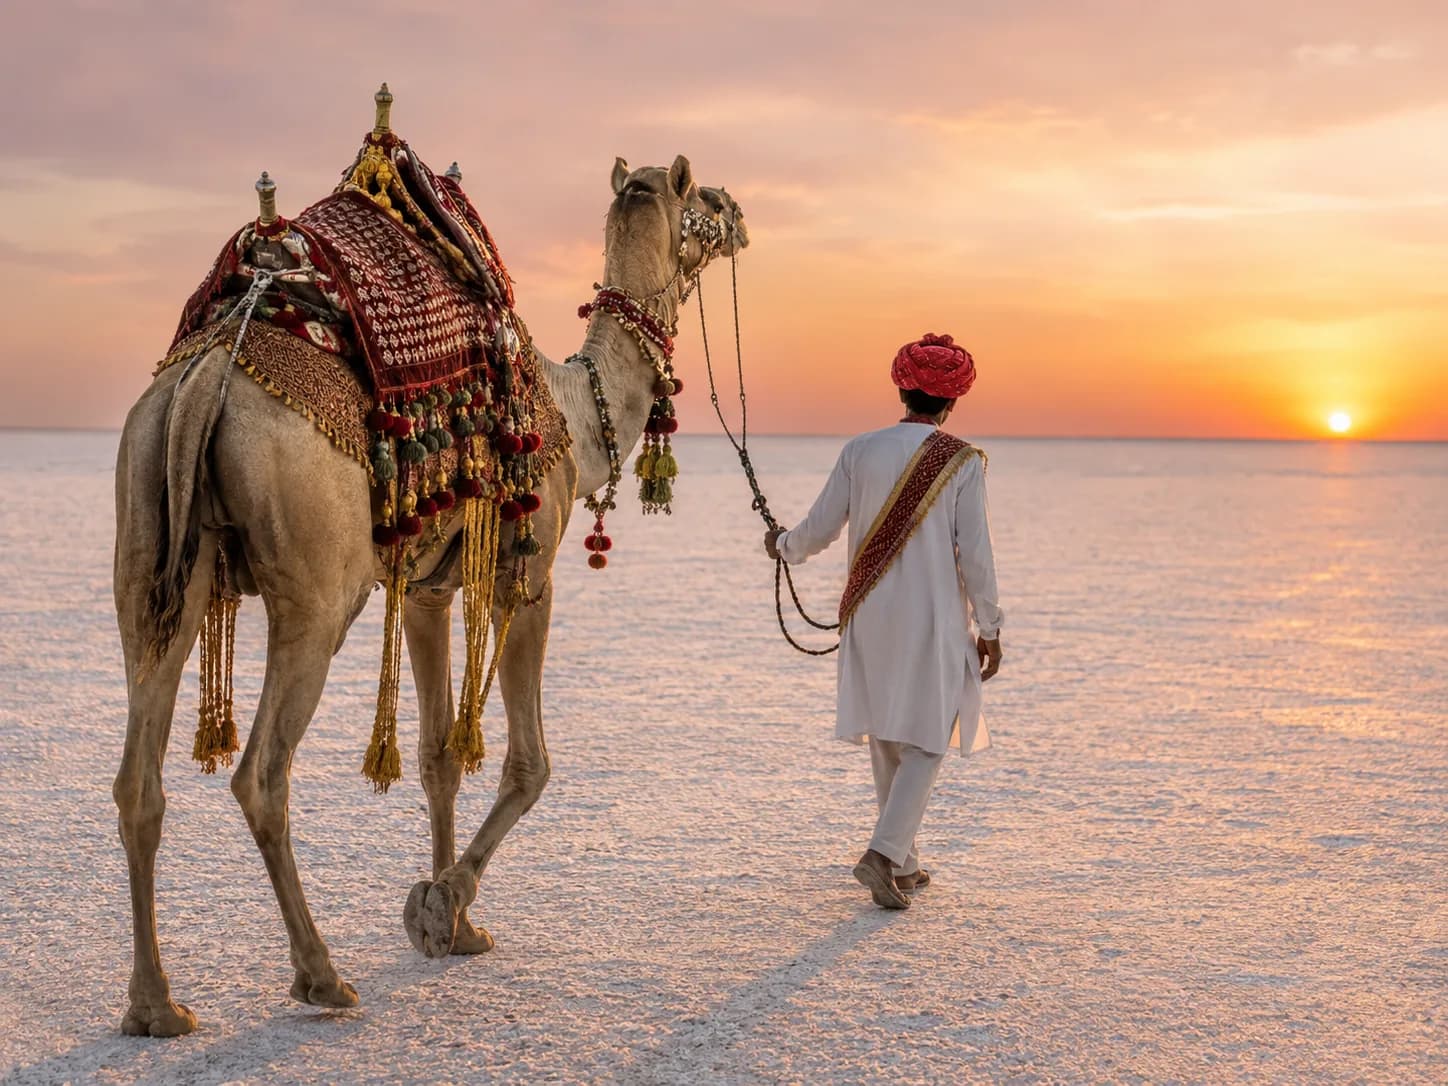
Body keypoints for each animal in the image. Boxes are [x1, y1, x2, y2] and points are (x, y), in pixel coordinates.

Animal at [112, 152, 748, 1036]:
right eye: (704, 198)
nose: (740, 217)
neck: (575, 413)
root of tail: (204, 377)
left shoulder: (425, 590)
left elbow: (438, 753)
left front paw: (455, 929)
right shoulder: (528, 575)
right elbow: (529, 763)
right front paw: (444, 902)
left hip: (148, 552)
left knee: (138, 779)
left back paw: (155, 1006)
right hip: (317, 589)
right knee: (261, 774)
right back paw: (321, 977)